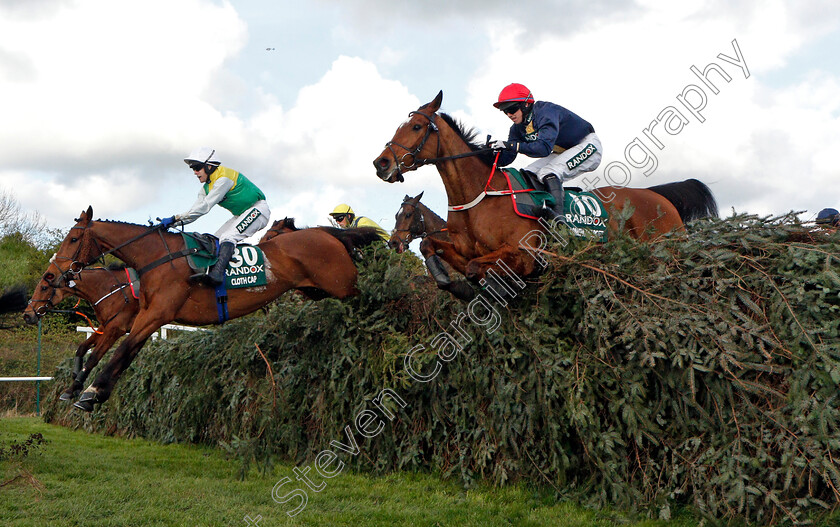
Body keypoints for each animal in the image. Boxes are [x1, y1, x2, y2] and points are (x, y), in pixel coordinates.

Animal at [41, 206, 378, 412]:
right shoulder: (143, 317)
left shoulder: (154, 315)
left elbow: (120, 351)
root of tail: (326, 233)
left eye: (73, 238)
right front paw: (86, 391)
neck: (155, 259)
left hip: (343, 285)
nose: (51, 275)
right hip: (316, 290)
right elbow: (120, 352)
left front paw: (89, 392)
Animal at [378, 91, 720, 296]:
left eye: (417, 127)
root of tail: (657, 196)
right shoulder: (463, 249)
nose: (380, 163)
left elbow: (480, 268)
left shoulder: (524, 253)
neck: (480, 196)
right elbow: (434, 248)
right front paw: (448, 280)